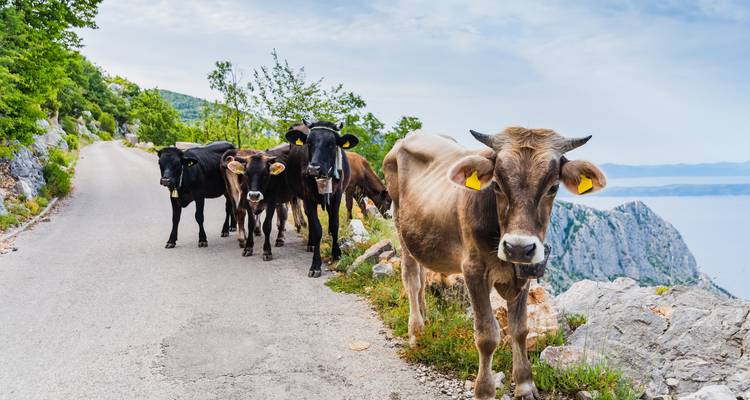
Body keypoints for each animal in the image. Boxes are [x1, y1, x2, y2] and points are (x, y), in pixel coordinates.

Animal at [284, 121, 359, 277]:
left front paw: (336, 253)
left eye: (331, 144)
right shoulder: (308, 197)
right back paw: (311, 243)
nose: (313, 169)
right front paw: (315, 265)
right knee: (309, 218)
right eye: (309, 143)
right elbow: (318, 229)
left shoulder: (337, 194)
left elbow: (334, 224)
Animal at [383, 128, 606, 400]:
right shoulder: (473, 270)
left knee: (423, 278)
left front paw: (525, 384)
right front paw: (485, 390)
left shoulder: (525, 271)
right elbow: (487, 335)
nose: (518, 247)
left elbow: (520, 329)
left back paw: (425, 321)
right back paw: (416, 332)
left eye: (553, 187)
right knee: (412, 280)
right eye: (497, 185)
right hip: (399, 223)